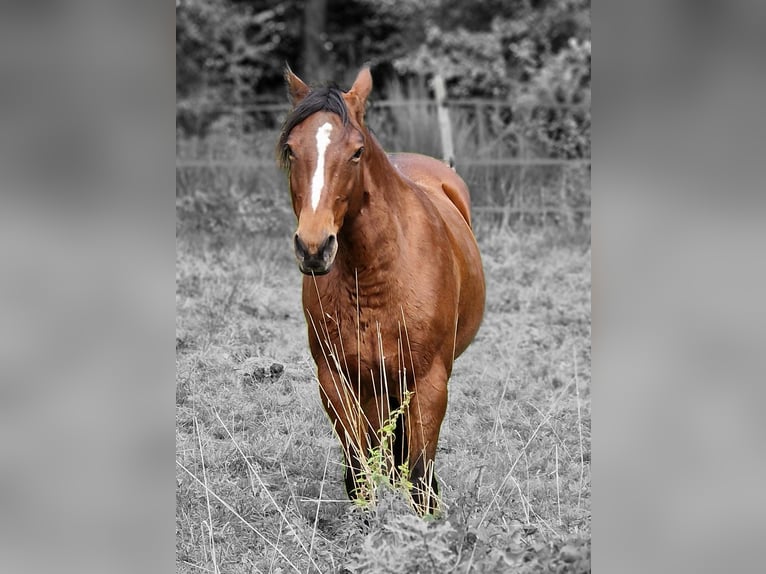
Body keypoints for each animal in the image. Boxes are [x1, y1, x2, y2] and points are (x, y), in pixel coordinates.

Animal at [280, 65, 486, 516]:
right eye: (290, 149)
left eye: (357, 152)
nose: (314, 248)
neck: (374, 275)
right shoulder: (337, 380)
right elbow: (360, 473)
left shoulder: (428, 382)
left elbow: (420, 478)